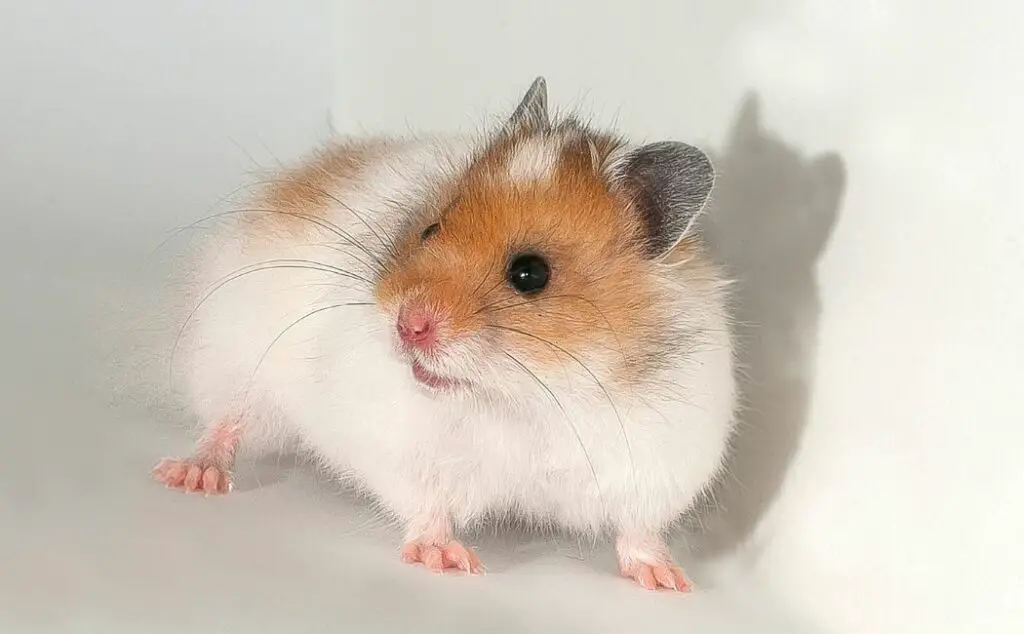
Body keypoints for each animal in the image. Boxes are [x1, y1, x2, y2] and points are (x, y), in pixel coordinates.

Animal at [153, 77, 737, 591]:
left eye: (531, 273)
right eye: (429, 229)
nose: (407, 324)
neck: (531, 394)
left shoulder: (656, 463)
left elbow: (638, 530)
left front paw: (671, 582)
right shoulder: (407, 450)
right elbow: (428, 505)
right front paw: (449, 561)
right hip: (234, 358)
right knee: (225, 422)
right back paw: (190, 475)